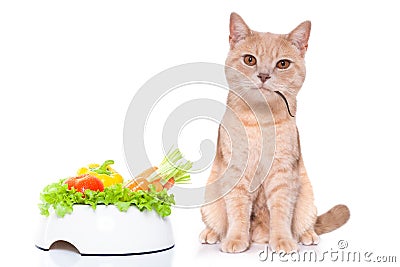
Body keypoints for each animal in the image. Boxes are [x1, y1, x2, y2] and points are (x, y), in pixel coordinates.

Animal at [200, 13, 350, 255]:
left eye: (283, 64)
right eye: (250, 60)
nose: (264, 75)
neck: (261, 119)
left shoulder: (282, 174)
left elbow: (281, 212)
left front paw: (282, 241)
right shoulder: (237, 172)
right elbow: (237, 211)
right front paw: (235, 239)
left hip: (307, 197)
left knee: (306, 223)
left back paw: (307, 235)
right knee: (216, 222)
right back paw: (211, 234)